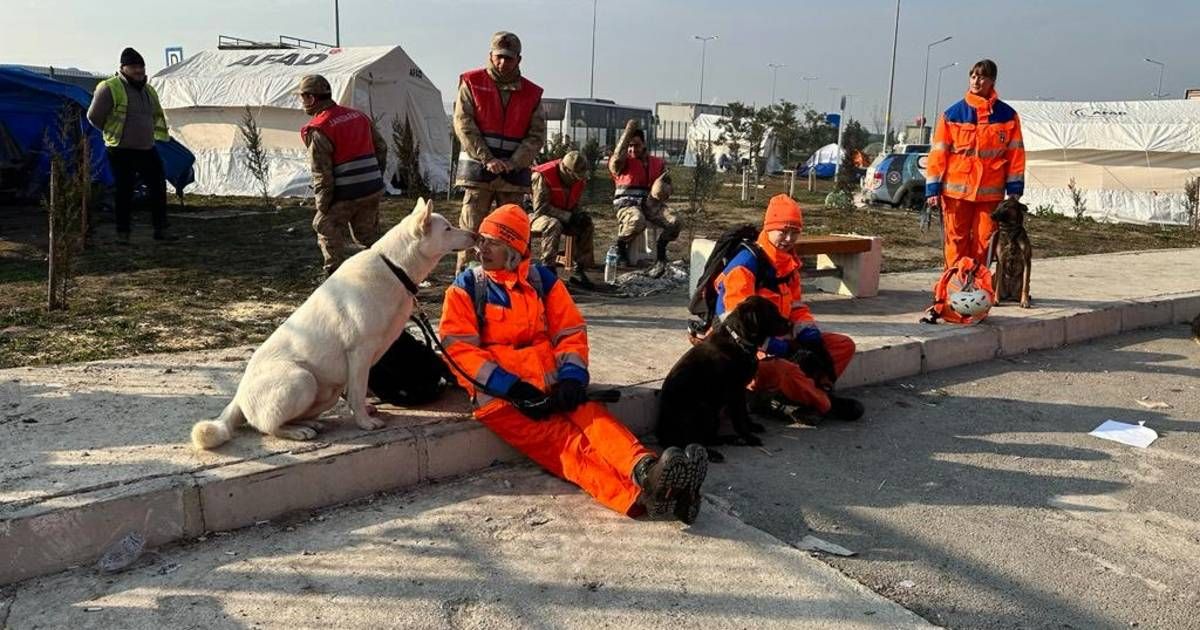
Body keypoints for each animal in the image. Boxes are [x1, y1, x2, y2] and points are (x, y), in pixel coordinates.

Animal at [190, 196, 472, 446]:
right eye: (448, 228)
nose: (475, 236)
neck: (395, 267)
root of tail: (238, 396)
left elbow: (360, 391)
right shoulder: (359, 352)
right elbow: (357, 392)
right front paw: (364, 423)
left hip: (327, 392)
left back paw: (309, 423)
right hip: (302, 380)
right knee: (268, 426)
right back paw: (297, 431)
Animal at [652, 295, 792, 460]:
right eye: (771, 312)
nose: (791, 324)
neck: (738, 341)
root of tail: (663, 437)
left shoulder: (740, 391)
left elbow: (744, 414)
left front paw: (751, 427)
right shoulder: (735, 391)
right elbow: (739, 418)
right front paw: (748, 436)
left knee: (708, 438)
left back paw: (732, 439)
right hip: (704, 409)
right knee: (694, 441)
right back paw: (713, 452)